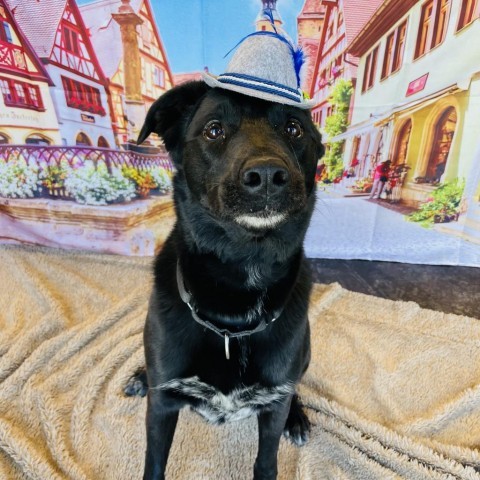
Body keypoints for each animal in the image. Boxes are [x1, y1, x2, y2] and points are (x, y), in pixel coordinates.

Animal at [125, 82, 324, 480]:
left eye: (294, 129)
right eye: (214, 130)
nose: (267, 175)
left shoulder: (273, 406)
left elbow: (266, 462)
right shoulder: (161, 406)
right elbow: (154, 463)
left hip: (305, 354)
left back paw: (297, 418)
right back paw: (140, 376)